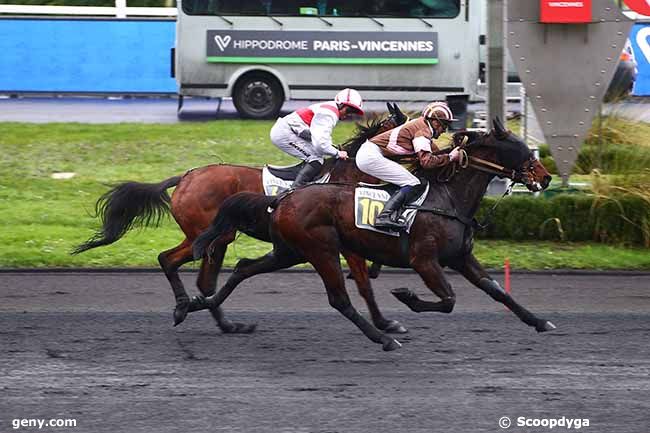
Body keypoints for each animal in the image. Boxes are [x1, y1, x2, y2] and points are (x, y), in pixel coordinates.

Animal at [74, 104, 404, 330]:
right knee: (171, 262)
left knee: (200, 280)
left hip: (214, 238)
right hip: (211, 234)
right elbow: (363, 279)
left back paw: (221, 322)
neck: (345, 174)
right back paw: (193, 311)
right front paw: (385, 321)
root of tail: (186, 177)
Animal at [191, 118, 552, 352]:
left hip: (289, 251)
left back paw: (196, 307)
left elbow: (498, 291)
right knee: (339, 299)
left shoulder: (460, 257)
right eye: (519, 148)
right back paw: (384, 339)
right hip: (321, 250)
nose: (546, 177)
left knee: (243, 268)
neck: (448, 198)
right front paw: (406, 298)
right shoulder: (423, 260)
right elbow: (448, 299)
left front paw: (539, 321)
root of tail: (284, 198)